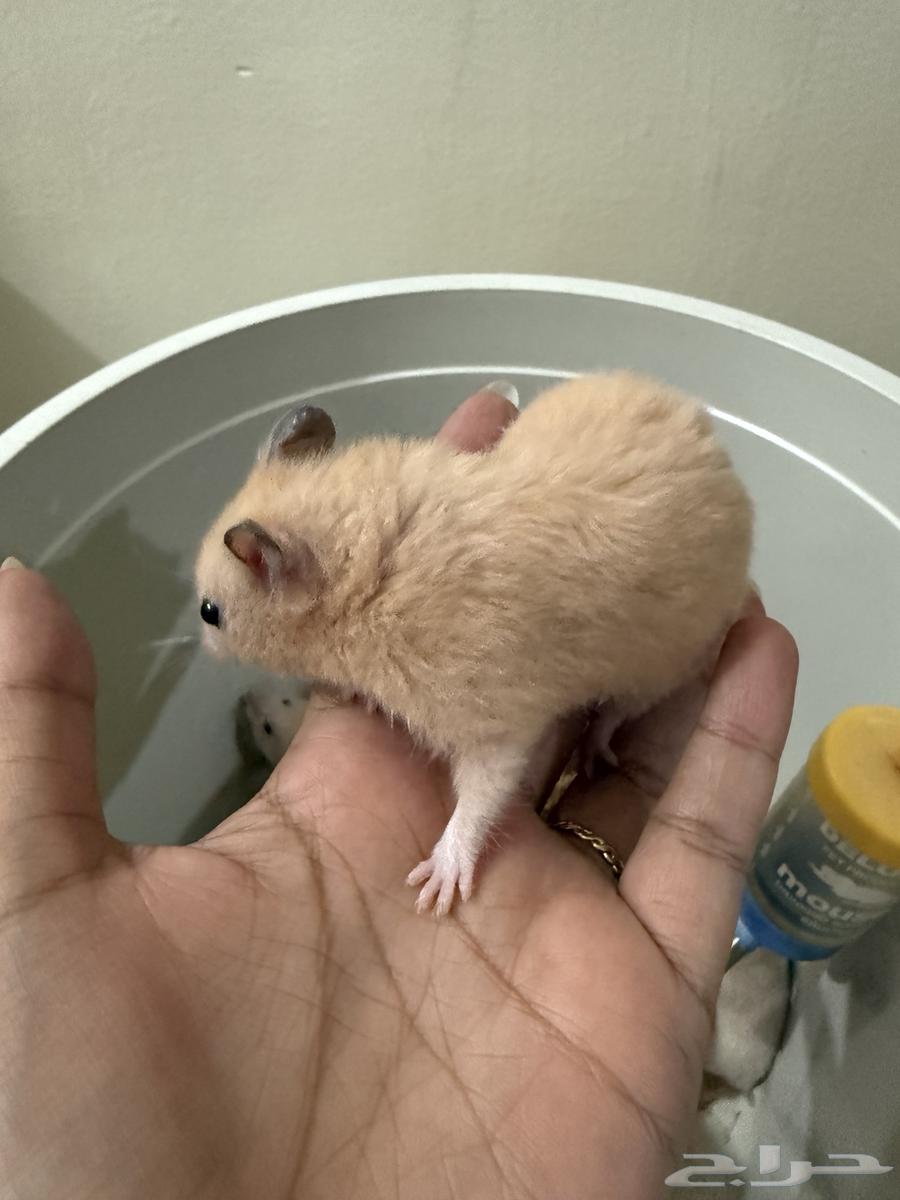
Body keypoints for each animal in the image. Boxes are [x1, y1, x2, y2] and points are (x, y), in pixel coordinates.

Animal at [195, 372, 753, 915]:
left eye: (209, 612)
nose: (205, 651)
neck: (365, 578)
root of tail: (727, 465)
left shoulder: (493, 722)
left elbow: (479, 799)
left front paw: (434, 892)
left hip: (662, 665)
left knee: (616, 712)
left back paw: (594, 752)